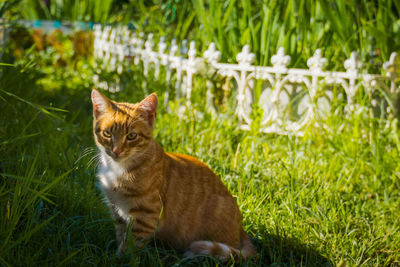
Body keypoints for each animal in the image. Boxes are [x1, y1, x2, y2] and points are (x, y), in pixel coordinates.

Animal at [91, 89, 256, 262]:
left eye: (131, 136)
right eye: (107, 134)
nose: (116, 151)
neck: (117, 169)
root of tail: (241, 229)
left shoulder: (146, 216)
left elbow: (130, 245)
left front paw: (120, 259)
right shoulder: (117, 212)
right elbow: (121, 236)